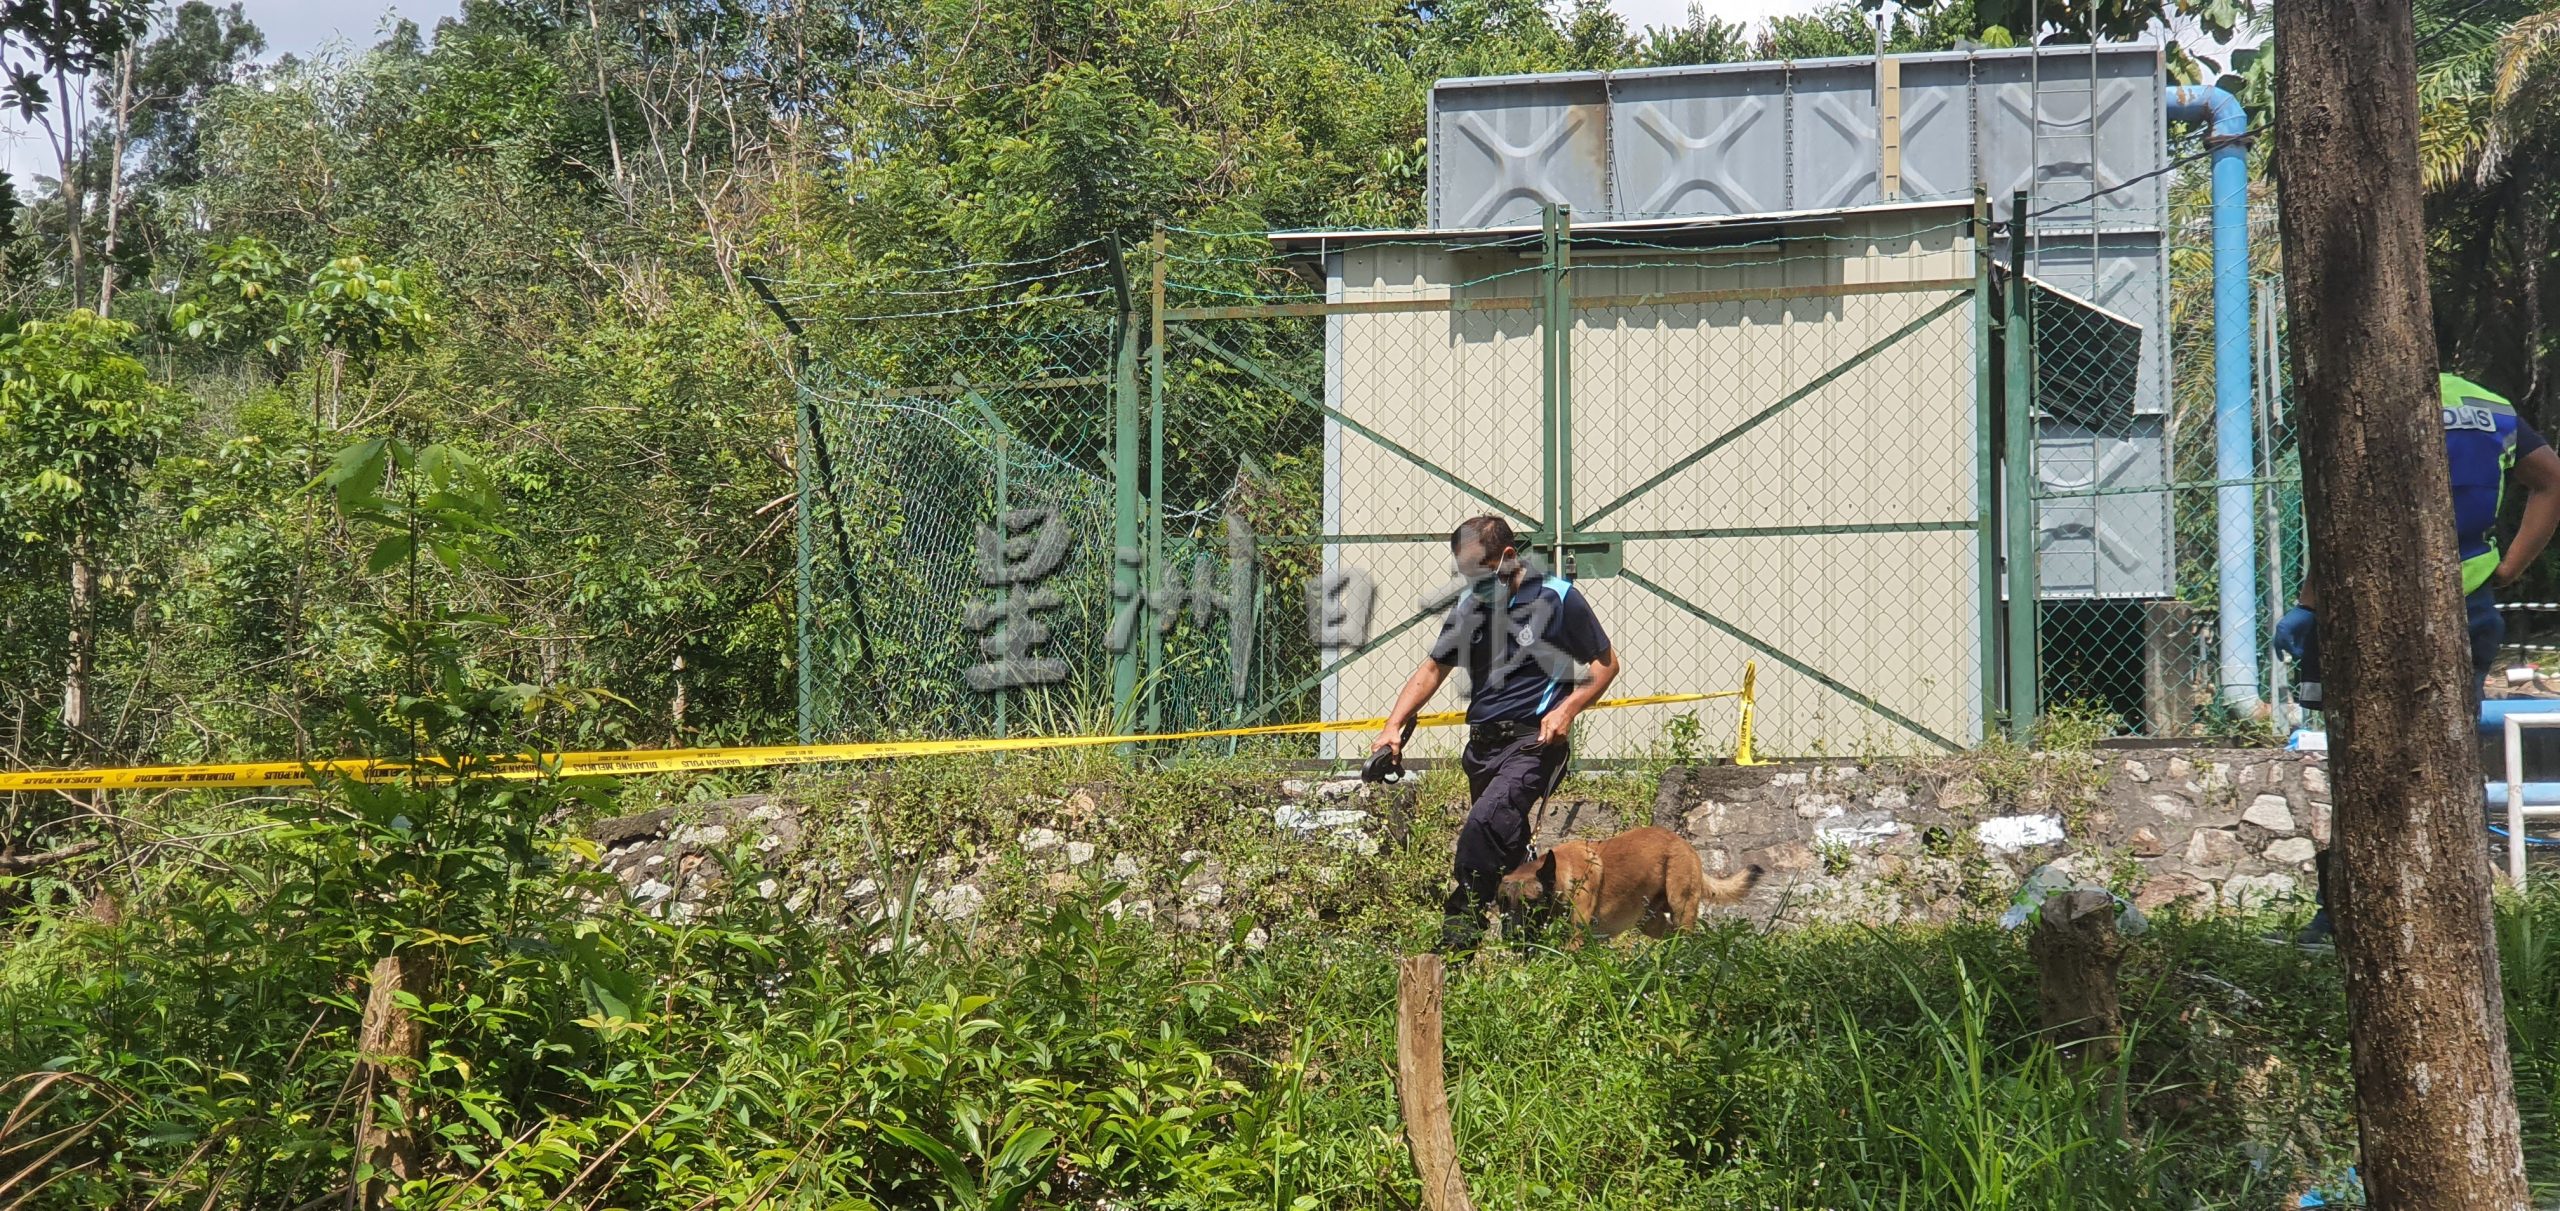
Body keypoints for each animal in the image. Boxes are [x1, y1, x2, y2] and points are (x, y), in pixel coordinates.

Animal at [1495, 824, 1761, 947]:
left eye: (1530, 903)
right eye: (1502, 904)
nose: (1509, 935)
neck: (1562, 876)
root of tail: (1682, 842)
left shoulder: (1576, 939)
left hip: (1681, 907)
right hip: (1650, 922)